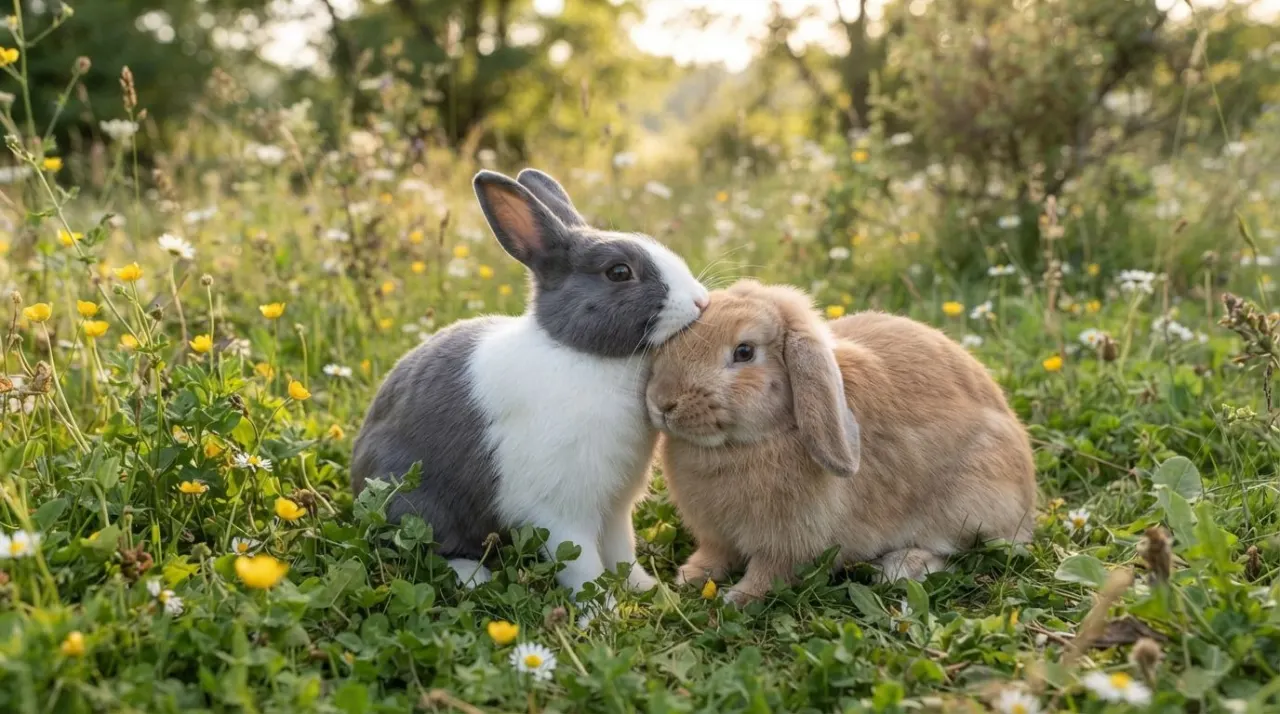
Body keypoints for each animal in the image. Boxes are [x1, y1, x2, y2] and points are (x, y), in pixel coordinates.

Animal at [352, 168, 709, 607]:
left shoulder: (614, 505)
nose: (700, 302)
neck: (582, 355)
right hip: (416, 502)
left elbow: (621, 552)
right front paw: (601, 612)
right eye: (618, 272)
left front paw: (648, 591)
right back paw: (474, 577)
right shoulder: (561, 511)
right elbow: (583, 566)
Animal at [645, 280, 1036, 605]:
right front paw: (690, 576)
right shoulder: (716, 535)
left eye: (744, 352)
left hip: (967, 501)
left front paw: (739, 598)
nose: (662, 402)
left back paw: (903, 565)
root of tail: (1027, 498)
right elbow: (715, 555)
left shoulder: (790, 542)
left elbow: (769, 572)